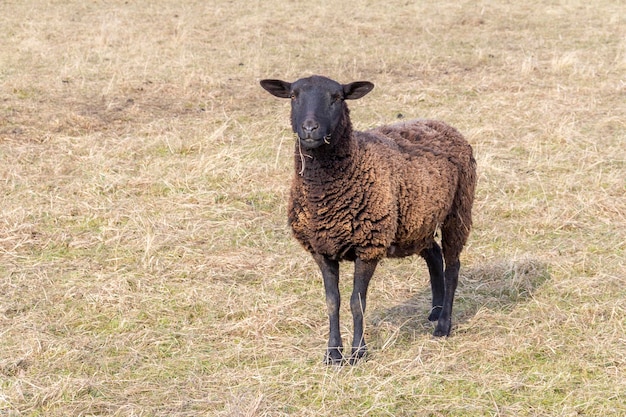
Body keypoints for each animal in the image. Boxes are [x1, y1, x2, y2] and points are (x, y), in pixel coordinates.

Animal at [258, 75, 472, 364]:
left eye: (337, 97)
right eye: (293, 96)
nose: (310, 128)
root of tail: (441, 123)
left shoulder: (368, 246)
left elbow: (356, 302)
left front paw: (358, 352)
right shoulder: (321, 249)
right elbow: (332, 302)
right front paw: (333, 354)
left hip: (458, 211)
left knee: (452, 267)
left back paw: (443, 325)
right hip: (418, 221)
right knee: (434, 255)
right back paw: (435, 311)